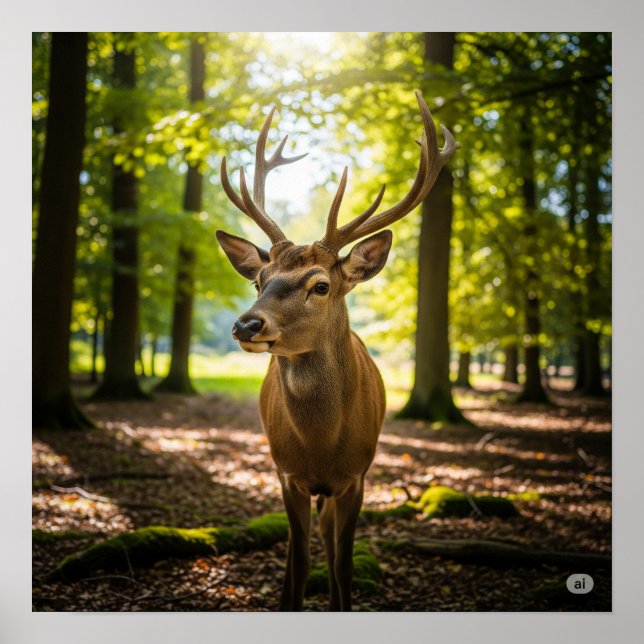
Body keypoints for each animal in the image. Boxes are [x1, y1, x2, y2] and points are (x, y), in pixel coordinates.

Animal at [216, 91, 457, 611]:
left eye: (321, 285)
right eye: (260, 280)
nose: (246, 324)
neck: (321, 445)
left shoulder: (357, 477)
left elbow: (343, 563)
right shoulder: (288, 475)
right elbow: (297, 561)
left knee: (328, 540)